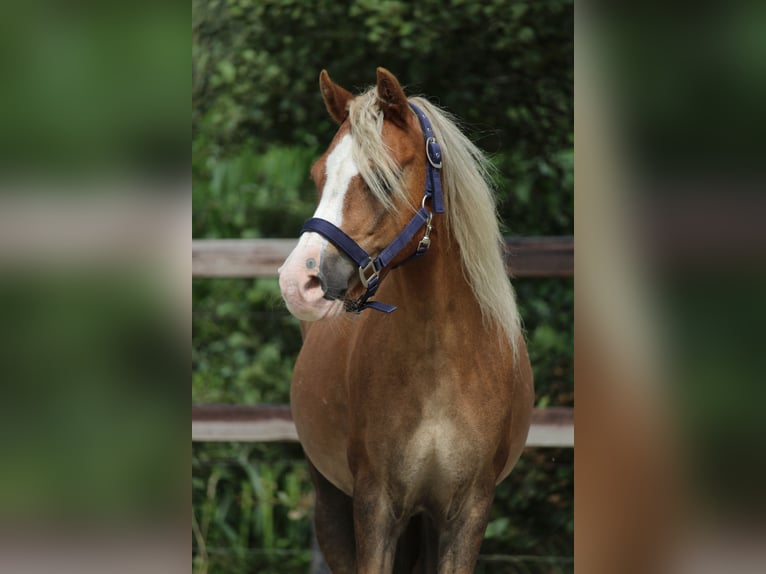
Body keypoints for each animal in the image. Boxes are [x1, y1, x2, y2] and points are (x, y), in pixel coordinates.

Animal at [278, 67, 534, 574]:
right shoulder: (374, 507)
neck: (441, 359)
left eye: (382, 176)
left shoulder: (468, 513)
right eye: (318, 175)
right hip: (331, 504)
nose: (299, 282)